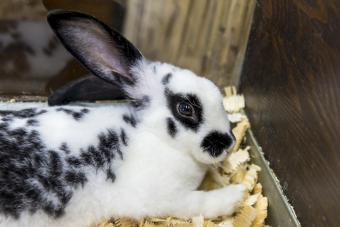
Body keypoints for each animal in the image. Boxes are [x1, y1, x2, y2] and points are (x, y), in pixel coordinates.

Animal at [0, 9, 244, 227]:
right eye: (185, 108)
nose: (229, 143)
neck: (152, 134)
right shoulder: (164, 198)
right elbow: (199, 202)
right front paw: (236, 195)